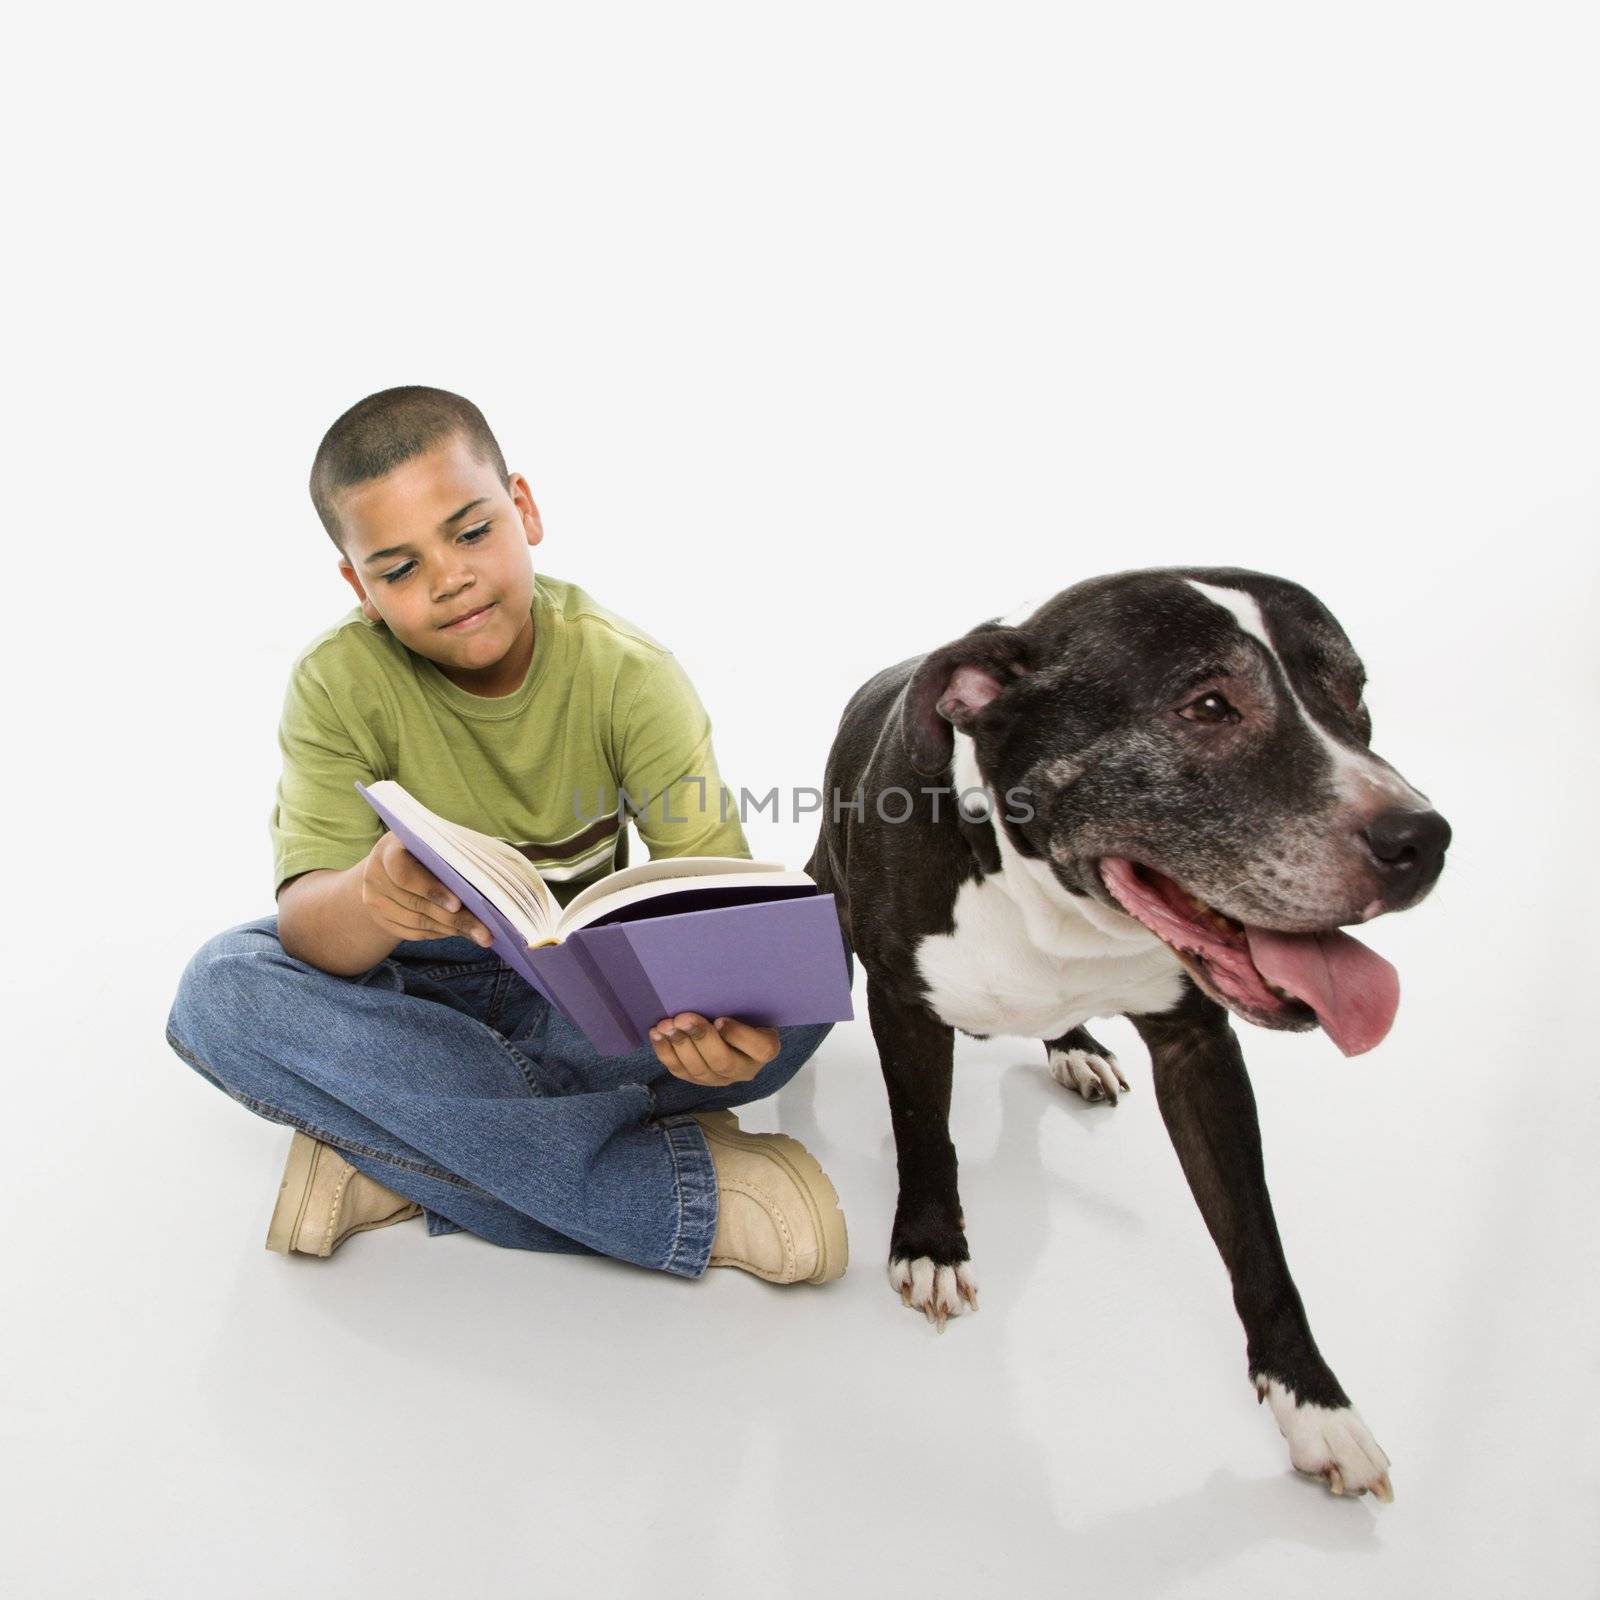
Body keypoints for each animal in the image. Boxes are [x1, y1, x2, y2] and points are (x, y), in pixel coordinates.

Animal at [806, 569, 1446, 1504]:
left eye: (1353, 694)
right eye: (1208, 705)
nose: (1423, 838)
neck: (1054, 901)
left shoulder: (1200, 1051)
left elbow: (1257, 1239)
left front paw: (1316, 1404)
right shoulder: (905, 1005)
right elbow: (926, 1135)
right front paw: (931, 1245)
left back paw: (1073, 1043)